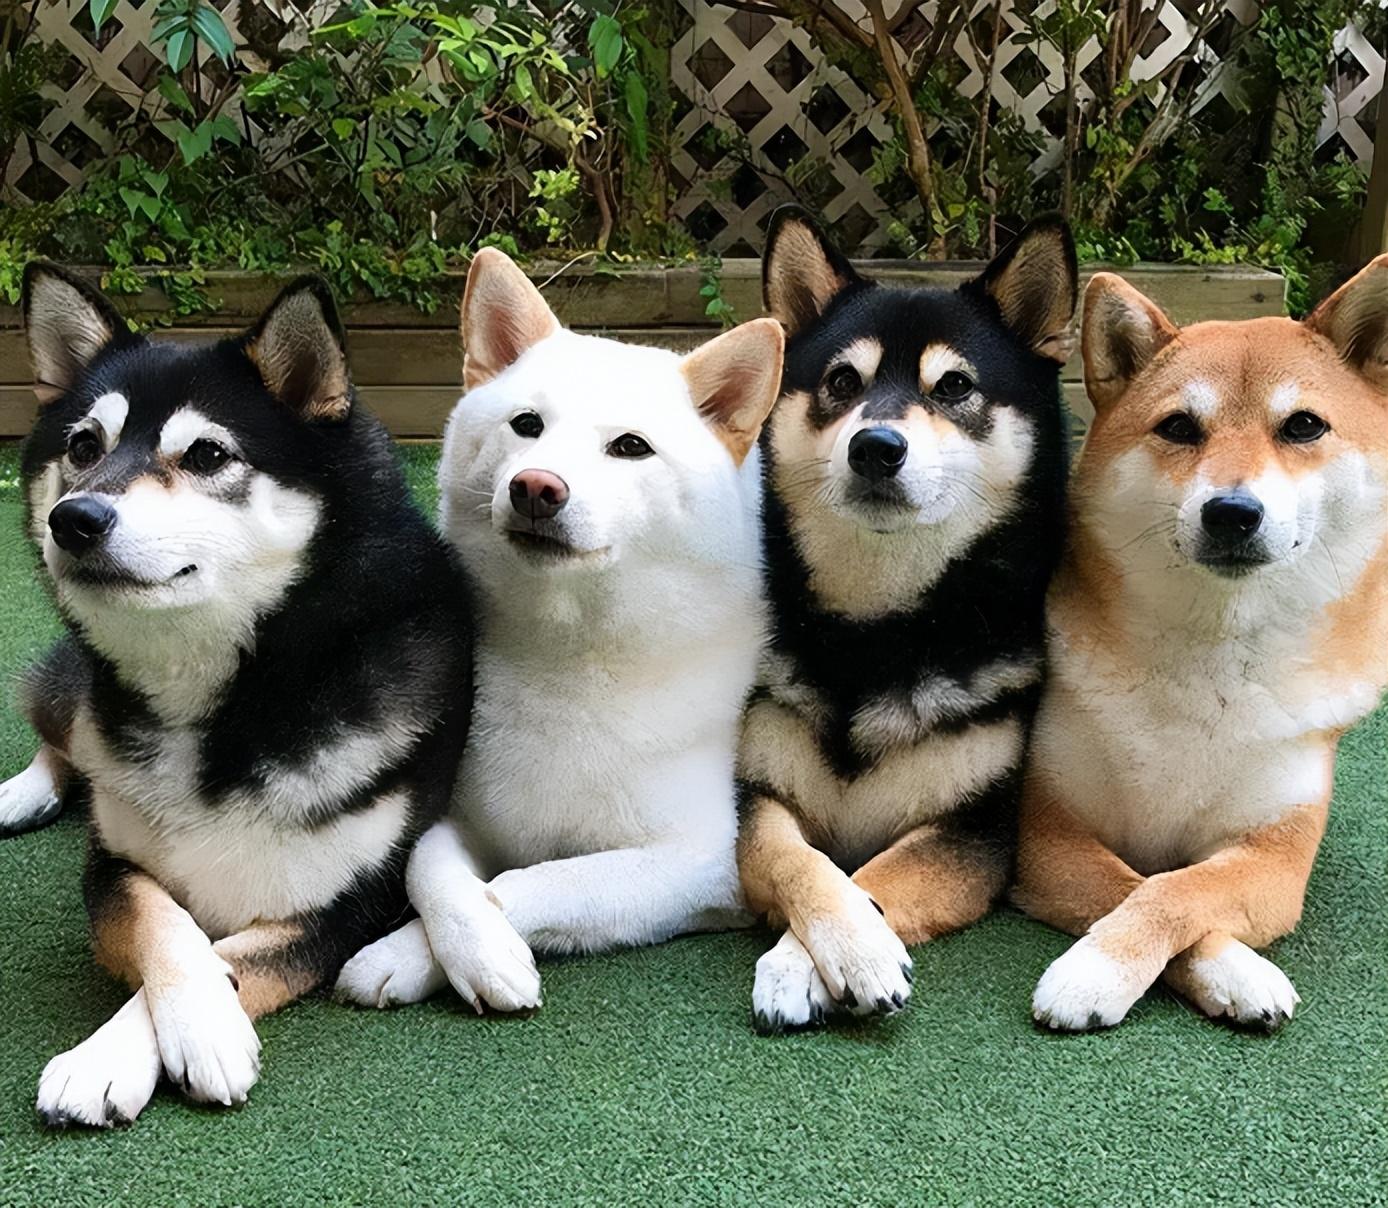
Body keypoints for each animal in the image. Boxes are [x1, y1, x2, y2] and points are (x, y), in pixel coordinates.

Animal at [5, 265, 474, 1127]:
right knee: (65, 730)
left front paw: (157, 1042)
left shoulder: (349, 900)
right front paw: (153, 1038)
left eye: (206, 453)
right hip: (73, 697)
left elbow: (232, 954)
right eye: (83, 446)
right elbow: (163, 924)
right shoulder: (113, 863)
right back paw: (22, 792)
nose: (73, 519)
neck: (233, 694)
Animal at [333, 248, 782, 1010]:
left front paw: (436, 952)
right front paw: (461, 945)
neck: (570, 656)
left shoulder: (703, 863)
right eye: (527, 425)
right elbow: (434, 872)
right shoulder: (451, 815)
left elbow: (532, 881)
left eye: (631, 447)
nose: (536, 488)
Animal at [732, 205, 1077, 1033]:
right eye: (841, 382)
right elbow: (800, 860)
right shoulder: (752, 796)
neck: (877, 631)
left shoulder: (974, 831)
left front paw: (826, 958)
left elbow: (877, 877)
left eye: (954, 386)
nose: (876, 446)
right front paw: (845, 945)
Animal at [1010, 262, 1388, 1033]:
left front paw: (1106, 970)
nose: (1233, 512)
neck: (1212, 660)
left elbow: (1177, 892)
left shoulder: (1272, 859)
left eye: (1304, 426)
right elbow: (1131, 887)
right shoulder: (1050, 831)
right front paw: (1102, 970)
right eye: (1179, 427)